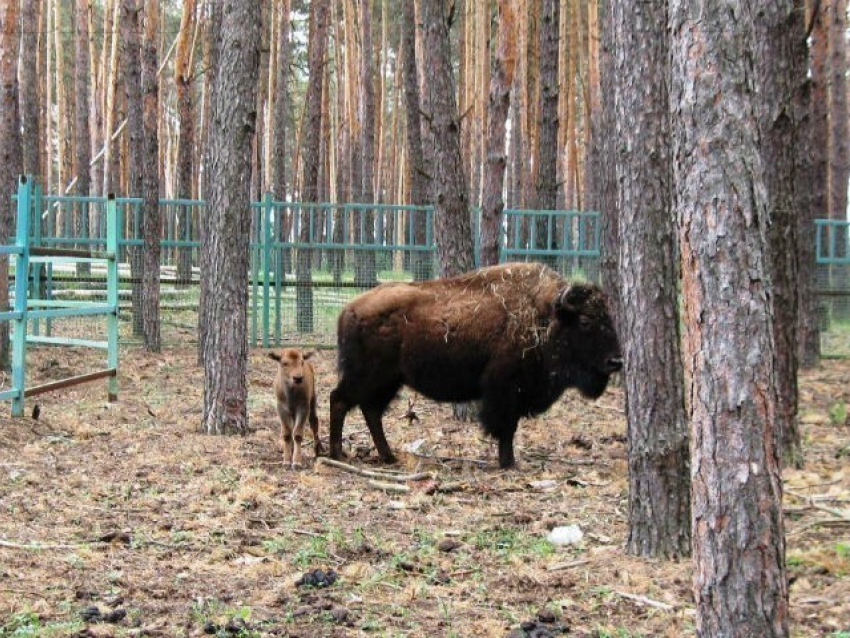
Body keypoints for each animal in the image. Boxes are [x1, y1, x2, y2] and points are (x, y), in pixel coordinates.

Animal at [328, 262, 620, 470]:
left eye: (610, 319)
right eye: (585, 321)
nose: (615, 361)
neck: (544, 316)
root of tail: (348, 310)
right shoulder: (504, 391)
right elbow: (506, 428)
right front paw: (508, 463)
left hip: (389, 381)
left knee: (371, 411)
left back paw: (388, 457)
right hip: (368, 376)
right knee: (340, 400)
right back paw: (337, 453)